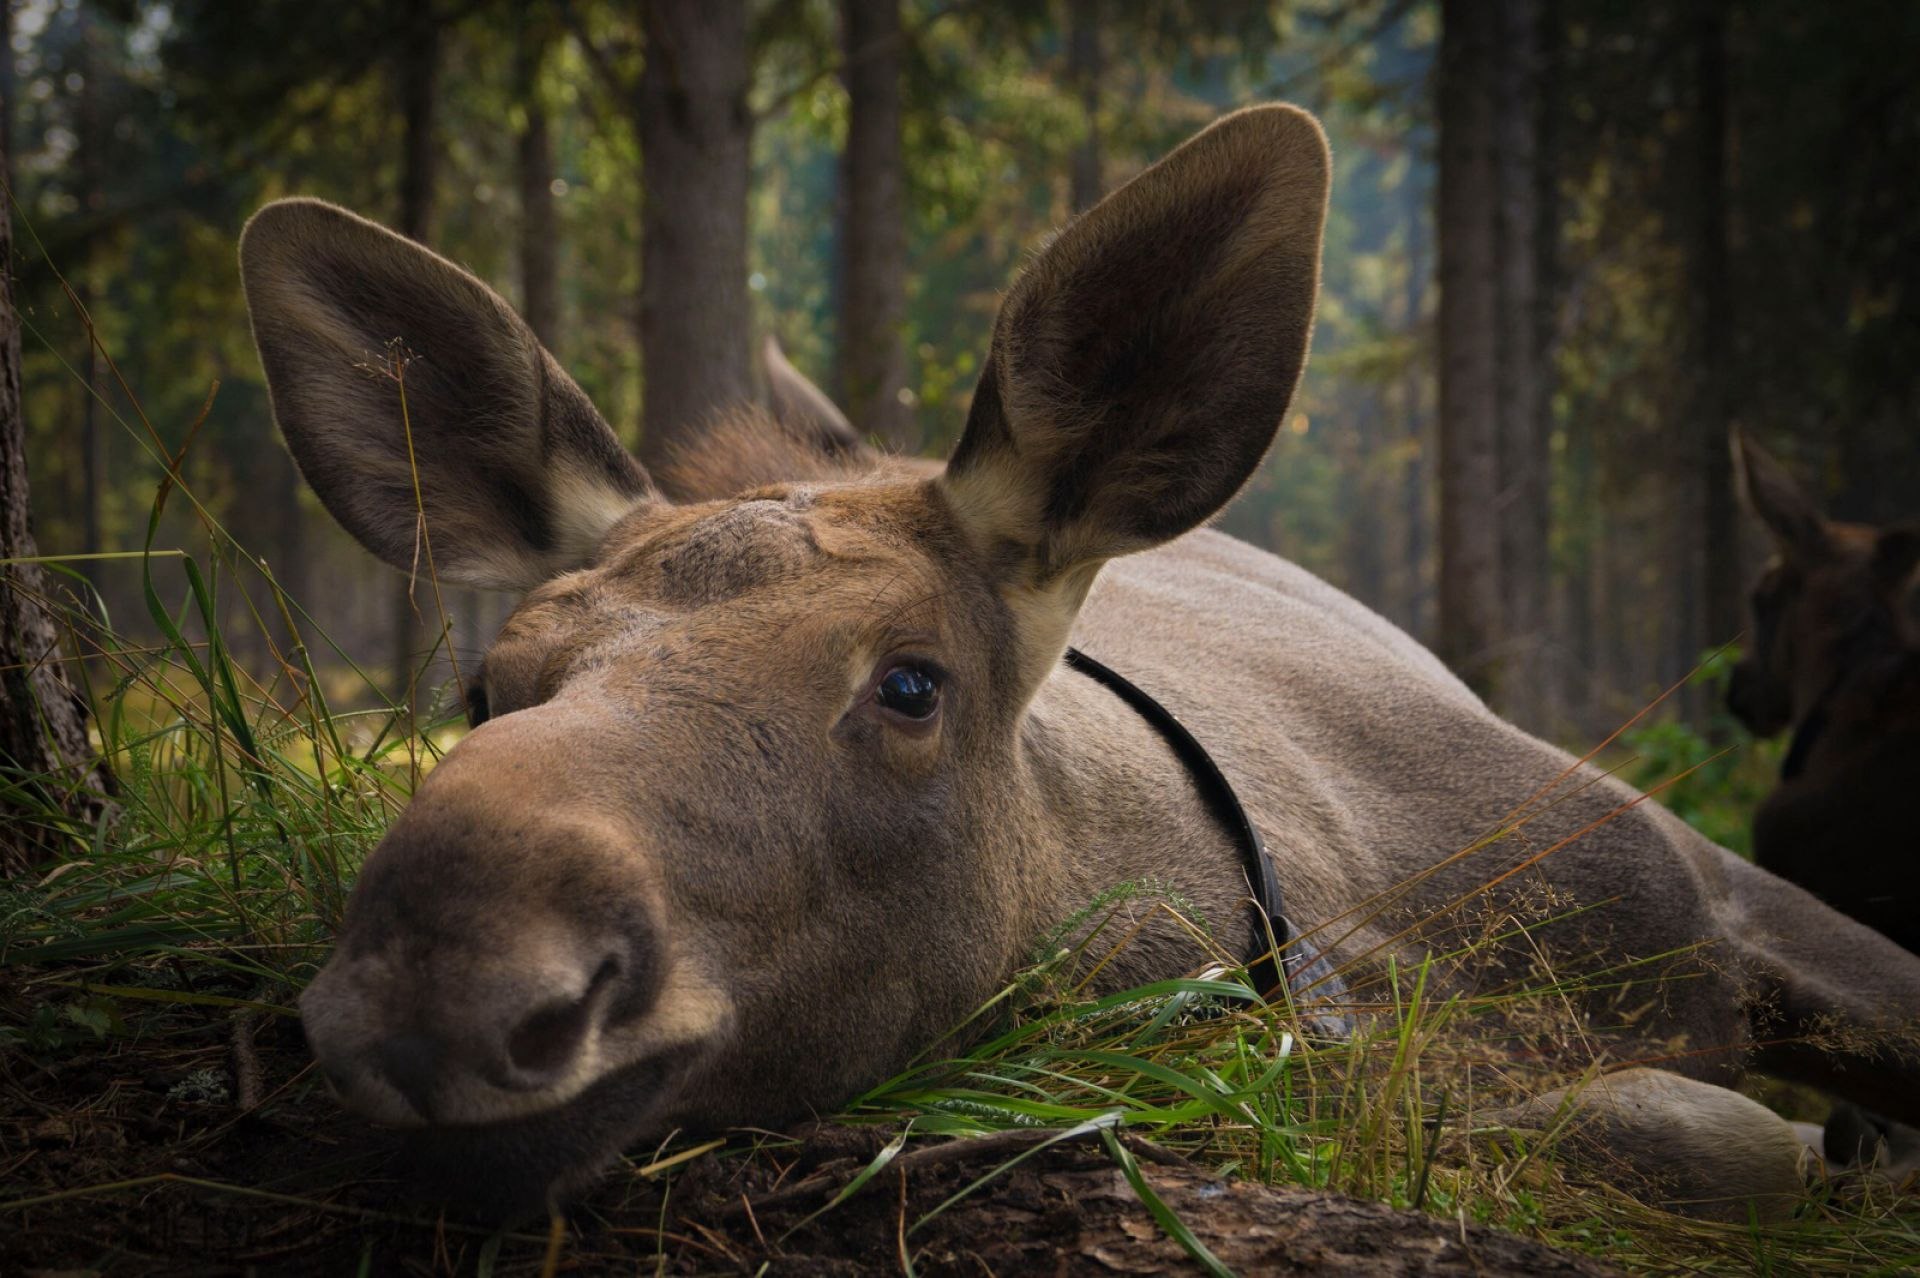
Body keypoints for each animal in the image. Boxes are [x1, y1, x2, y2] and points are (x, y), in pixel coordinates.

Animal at [240, 104, 1920, 1212]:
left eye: (910, 681)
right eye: (484, 684)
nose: (446, 986)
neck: (1354, 936)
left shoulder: (1722, 881)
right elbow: (1648, 1130)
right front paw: (1786, 1141)